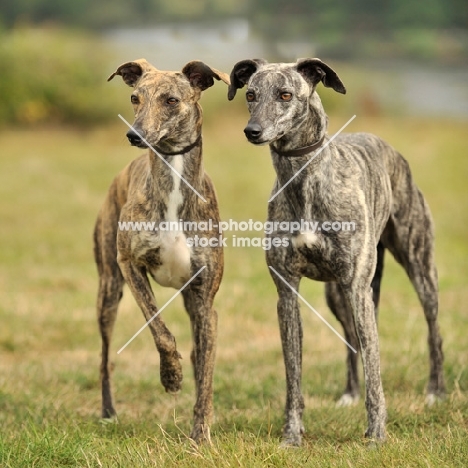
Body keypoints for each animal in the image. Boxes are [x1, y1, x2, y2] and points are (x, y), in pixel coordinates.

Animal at [93, 58, 229, 442]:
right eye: (134, 98)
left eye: (171, 100)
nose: (134, 135)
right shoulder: (130, 266)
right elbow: (161, 331)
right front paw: (171, 377)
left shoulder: (205, 299)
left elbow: (206, 367)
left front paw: (201, 432)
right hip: (109, 289)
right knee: (105, 358)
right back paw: (108, 411)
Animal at [229, 58, 444, 446]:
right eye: (250, 94)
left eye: (286, 94)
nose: (252, 131)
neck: (303, 180)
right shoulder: (287, 293)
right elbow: (293, 374)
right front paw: (292, 435)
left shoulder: (358, 287)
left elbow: (376, 370)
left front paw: (376, 434)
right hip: (338, 295)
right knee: (351, 340)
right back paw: (349, 393)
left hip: (418, 269)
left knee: (432, 327)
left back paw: (436, 391)